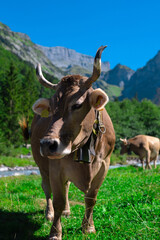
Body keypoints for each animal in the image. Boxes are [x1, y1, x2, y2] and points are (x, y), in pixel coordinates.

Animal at [30, 46, 115, 239]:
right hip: (42, 166)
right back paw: (49, 213)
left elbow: (91, 199)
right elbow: (58, 201)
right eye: (51, 108)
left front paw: (88, 227)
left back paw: (68, 211)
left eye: (77, 105)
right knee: (47, 189)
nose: (47, 144)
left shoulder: (104, 165)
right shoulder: (56, 167)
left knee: (67, 187)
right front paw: (55, 232)